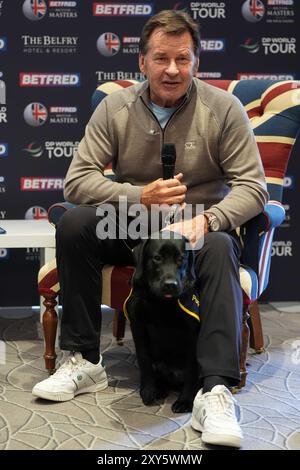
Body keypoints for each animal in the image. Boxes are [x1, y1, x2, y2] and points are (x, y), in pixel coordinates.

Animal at [124, 231, 199, 412]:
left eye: (181, 258)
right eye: (157, 258)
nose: (170, 285)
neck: (162, 303)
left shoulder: (192, 333)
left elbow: (192, 368)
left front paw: (186, 400)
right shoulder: (138, 326)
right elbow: (144, 359)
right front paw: (148, 390)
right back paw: (159, 389)